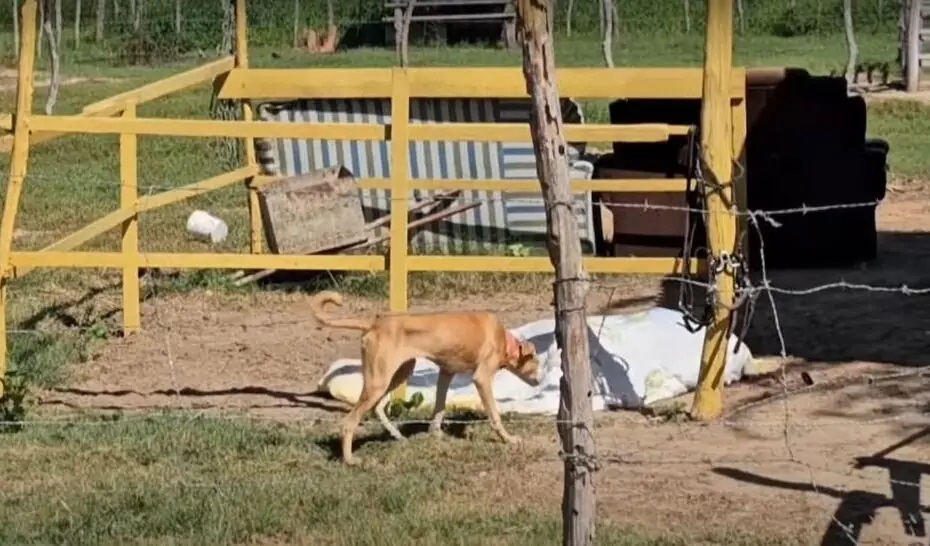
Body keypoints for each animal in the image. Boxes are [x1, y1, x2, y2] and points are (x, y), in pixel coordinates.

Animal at [310, 288, 540, 464]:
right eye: (537, 361)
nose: (539, 380)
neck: (503, 339)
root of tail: (375, 323)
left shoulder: (446, 373)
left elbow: (440, 407)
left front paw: (436, 433)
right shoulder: (481, 379)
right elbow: (494, 415)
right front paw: (508, 439)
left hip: (399, 372)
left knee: (378, 407)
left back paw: (397, 436)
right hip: (380, 380)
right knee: (349, 423)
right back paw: (350, 460)